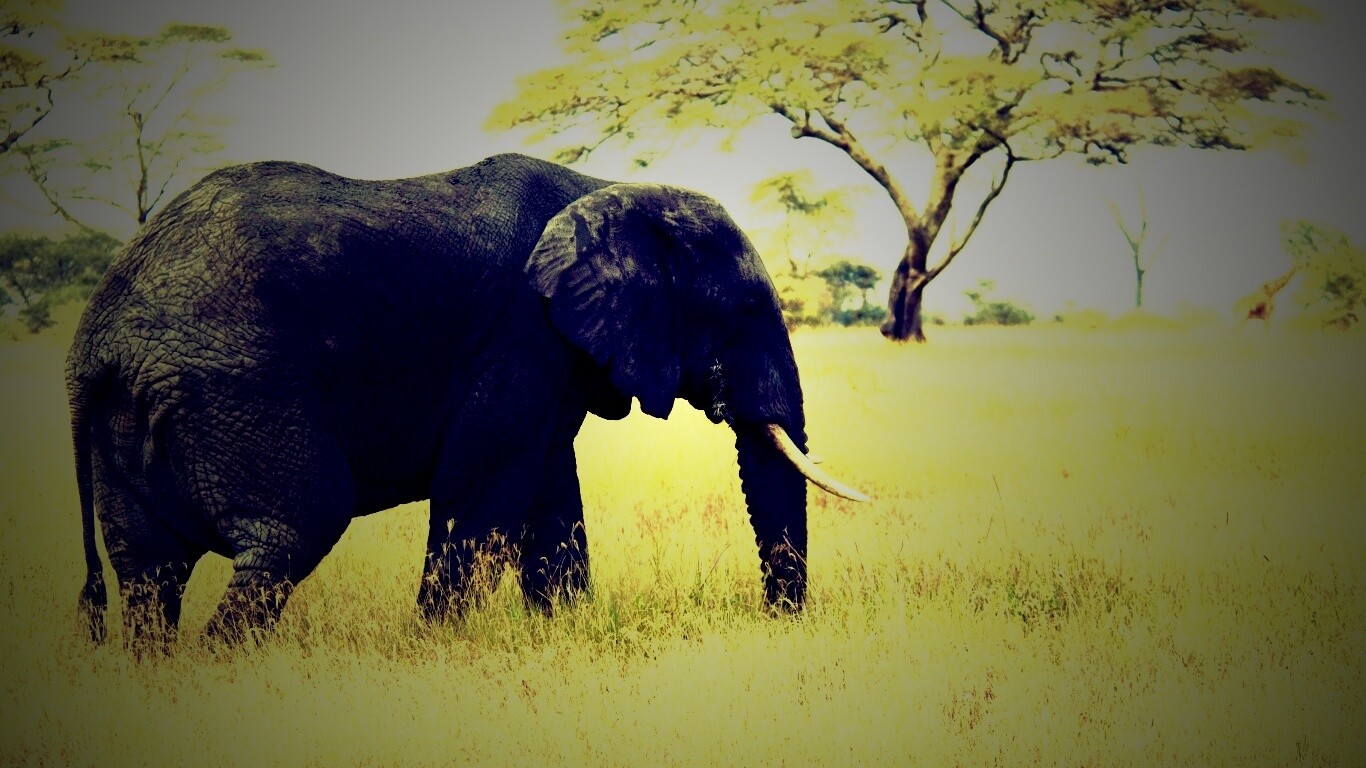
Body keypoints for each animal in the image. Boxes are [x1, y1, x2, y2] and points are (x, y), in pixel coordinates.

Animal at [66, 152, 867, 648]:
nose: (778, 622)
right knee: (294, 527)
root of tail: (94, 343)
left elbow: (549, 496)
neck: (607, 186)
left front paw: (563, 634)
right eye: (744, 310)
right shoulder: (521, 332)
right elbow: (481, 490)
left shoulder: (550, 356)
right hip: (234, 391)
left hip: (142, 412)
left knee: (148, 569)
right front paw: (437, 646)